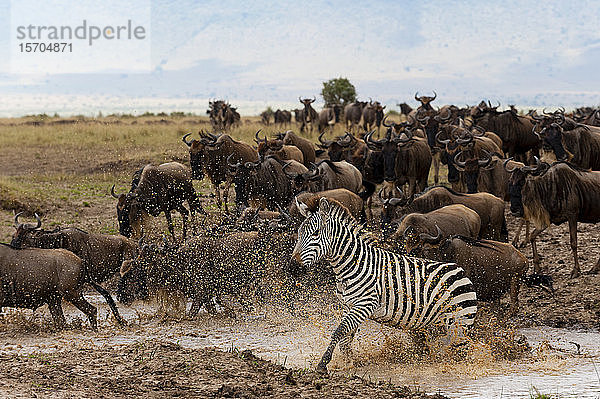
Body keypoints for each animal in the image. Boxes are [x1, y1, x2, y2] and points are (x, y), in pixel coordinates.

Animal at [290, 197, 478, 376]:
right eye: (299, 233)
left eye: (315, 233)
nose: (294, 267)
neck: (353, 265)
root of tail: (461, 271)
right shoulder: (348, 306)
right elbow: (345, 338)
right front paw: (349, 362)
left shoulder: (364, 304)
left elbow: (339, 331)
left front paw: (323, 364)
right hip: (433, 325)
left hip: (459, 321)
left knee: (459, 349)